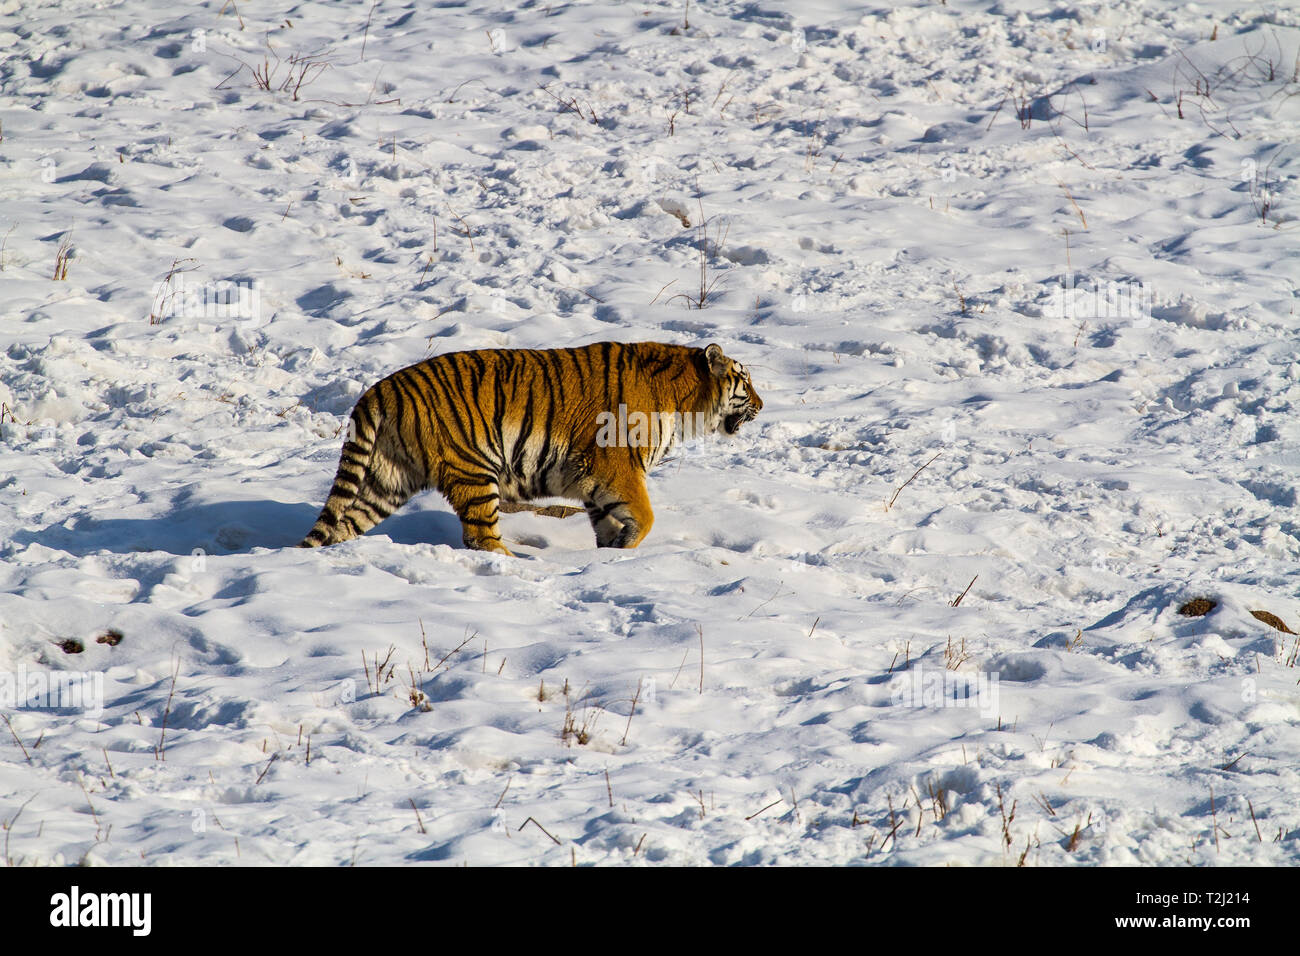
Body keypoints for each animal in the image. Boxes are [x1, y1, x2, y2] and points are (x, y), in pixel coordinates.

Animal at [297, 343, 759, 554]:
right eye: (746, 381)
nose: (762, 404)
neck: (686, 400)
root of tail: (381, 389)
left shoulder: (595, 479)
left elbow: (608, 521)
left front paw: (610, 553)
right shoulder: (617, 464)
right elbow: (644, 516)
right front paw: (627, 547)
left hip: (387, 477)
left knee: (346, 522)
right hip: (474, 469)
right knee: (480, 536)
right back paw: (514, 564)